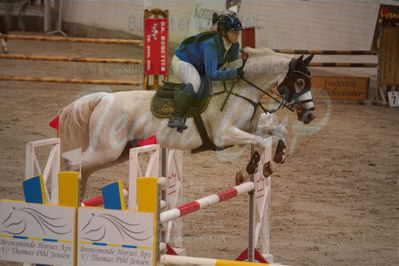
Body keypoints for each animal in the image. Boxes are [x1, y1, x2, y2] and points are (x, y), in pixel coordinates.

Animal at [59, 47, 316, 200]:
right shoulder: (225, 135)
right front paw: (254, 169)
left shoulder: (247, 128)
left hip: (118, 153)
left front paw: (275, 159)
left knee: (83, 169)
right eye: (300, 82)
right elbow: (261, 142)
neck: (243, 89)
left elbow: (278, 131)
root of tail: (104, 98)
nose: (310, 115)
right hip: (107, 150)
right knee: (73, 165)